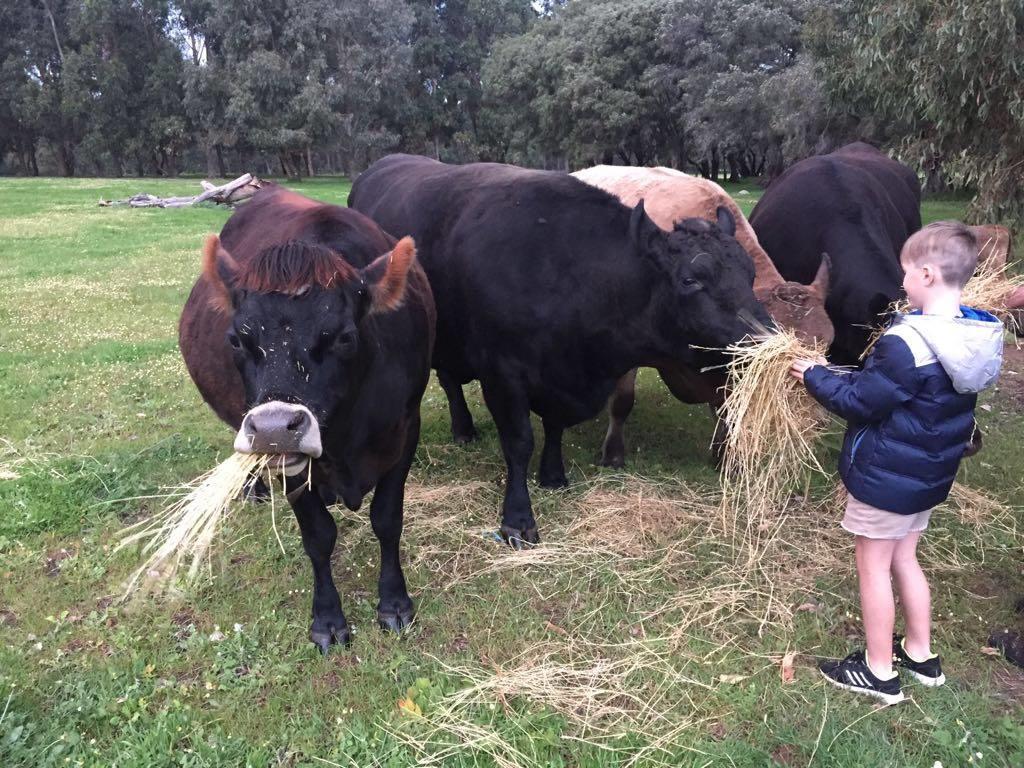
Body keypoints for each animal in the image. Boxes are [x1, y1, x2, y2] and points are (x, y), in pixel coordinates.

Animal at [178, 186, 434, 655]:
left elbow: (388, 520)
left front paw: (394, 602)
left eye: (345, 337)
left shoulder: (406, 430)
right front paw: (328, 619)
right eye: (236, 339)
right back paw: (254, 487)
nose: (274, 430)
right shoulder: (292, 467)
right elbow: (318, 536)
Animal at [348, 153, 770, 548]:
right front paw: (518, 519)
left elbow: (553, 427)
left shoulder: (560, 375)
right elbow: (519, 442)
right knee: (450, 383)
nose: (763, 339)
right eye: (690, 280)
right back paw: (464, 429)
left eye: (749, 274)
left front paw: (553, 475)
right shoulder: (503, 373)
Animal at [573, 166, 835, 468]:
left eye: (827, 344)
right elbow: (622, 401)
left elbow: (725, 409)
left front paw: (724, 454)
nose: (817, 420)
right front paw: (613, 455)